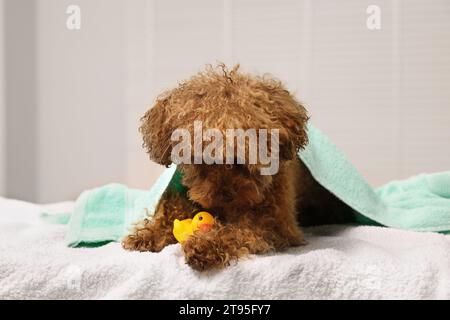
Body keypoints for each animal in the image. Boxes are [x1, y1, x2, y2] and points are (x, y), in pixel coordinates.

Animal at [123, 64, 356, 270]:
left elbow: (238, 231)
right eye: (200, 150)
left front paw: (206, 245)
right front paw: (148, 234)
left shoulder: (276, 223)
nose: (225, 195)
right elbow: (172, 210)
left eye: (250, 143)